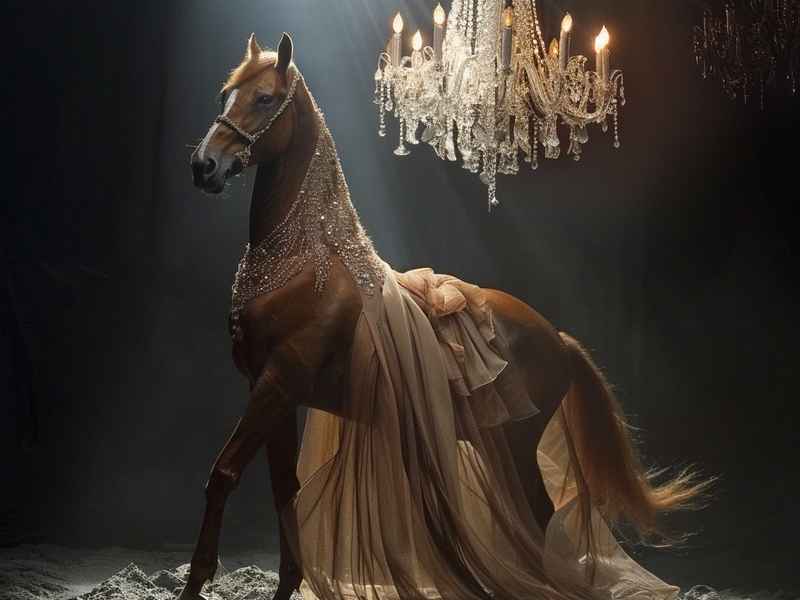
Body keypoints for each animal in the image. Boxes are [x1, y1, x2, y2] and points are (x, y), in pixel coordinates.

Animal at [181, 32, 707, 600]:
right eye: (225, 95)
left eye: (264, 99)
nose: (204, 166)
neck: (300, 261)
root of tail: (556, 337)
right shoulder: (272, 390)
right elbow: (284, 490)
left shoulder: (278, 383)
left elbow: (223, 474)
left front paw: (196, 579)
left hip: (517, 448)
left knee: (539, 526)